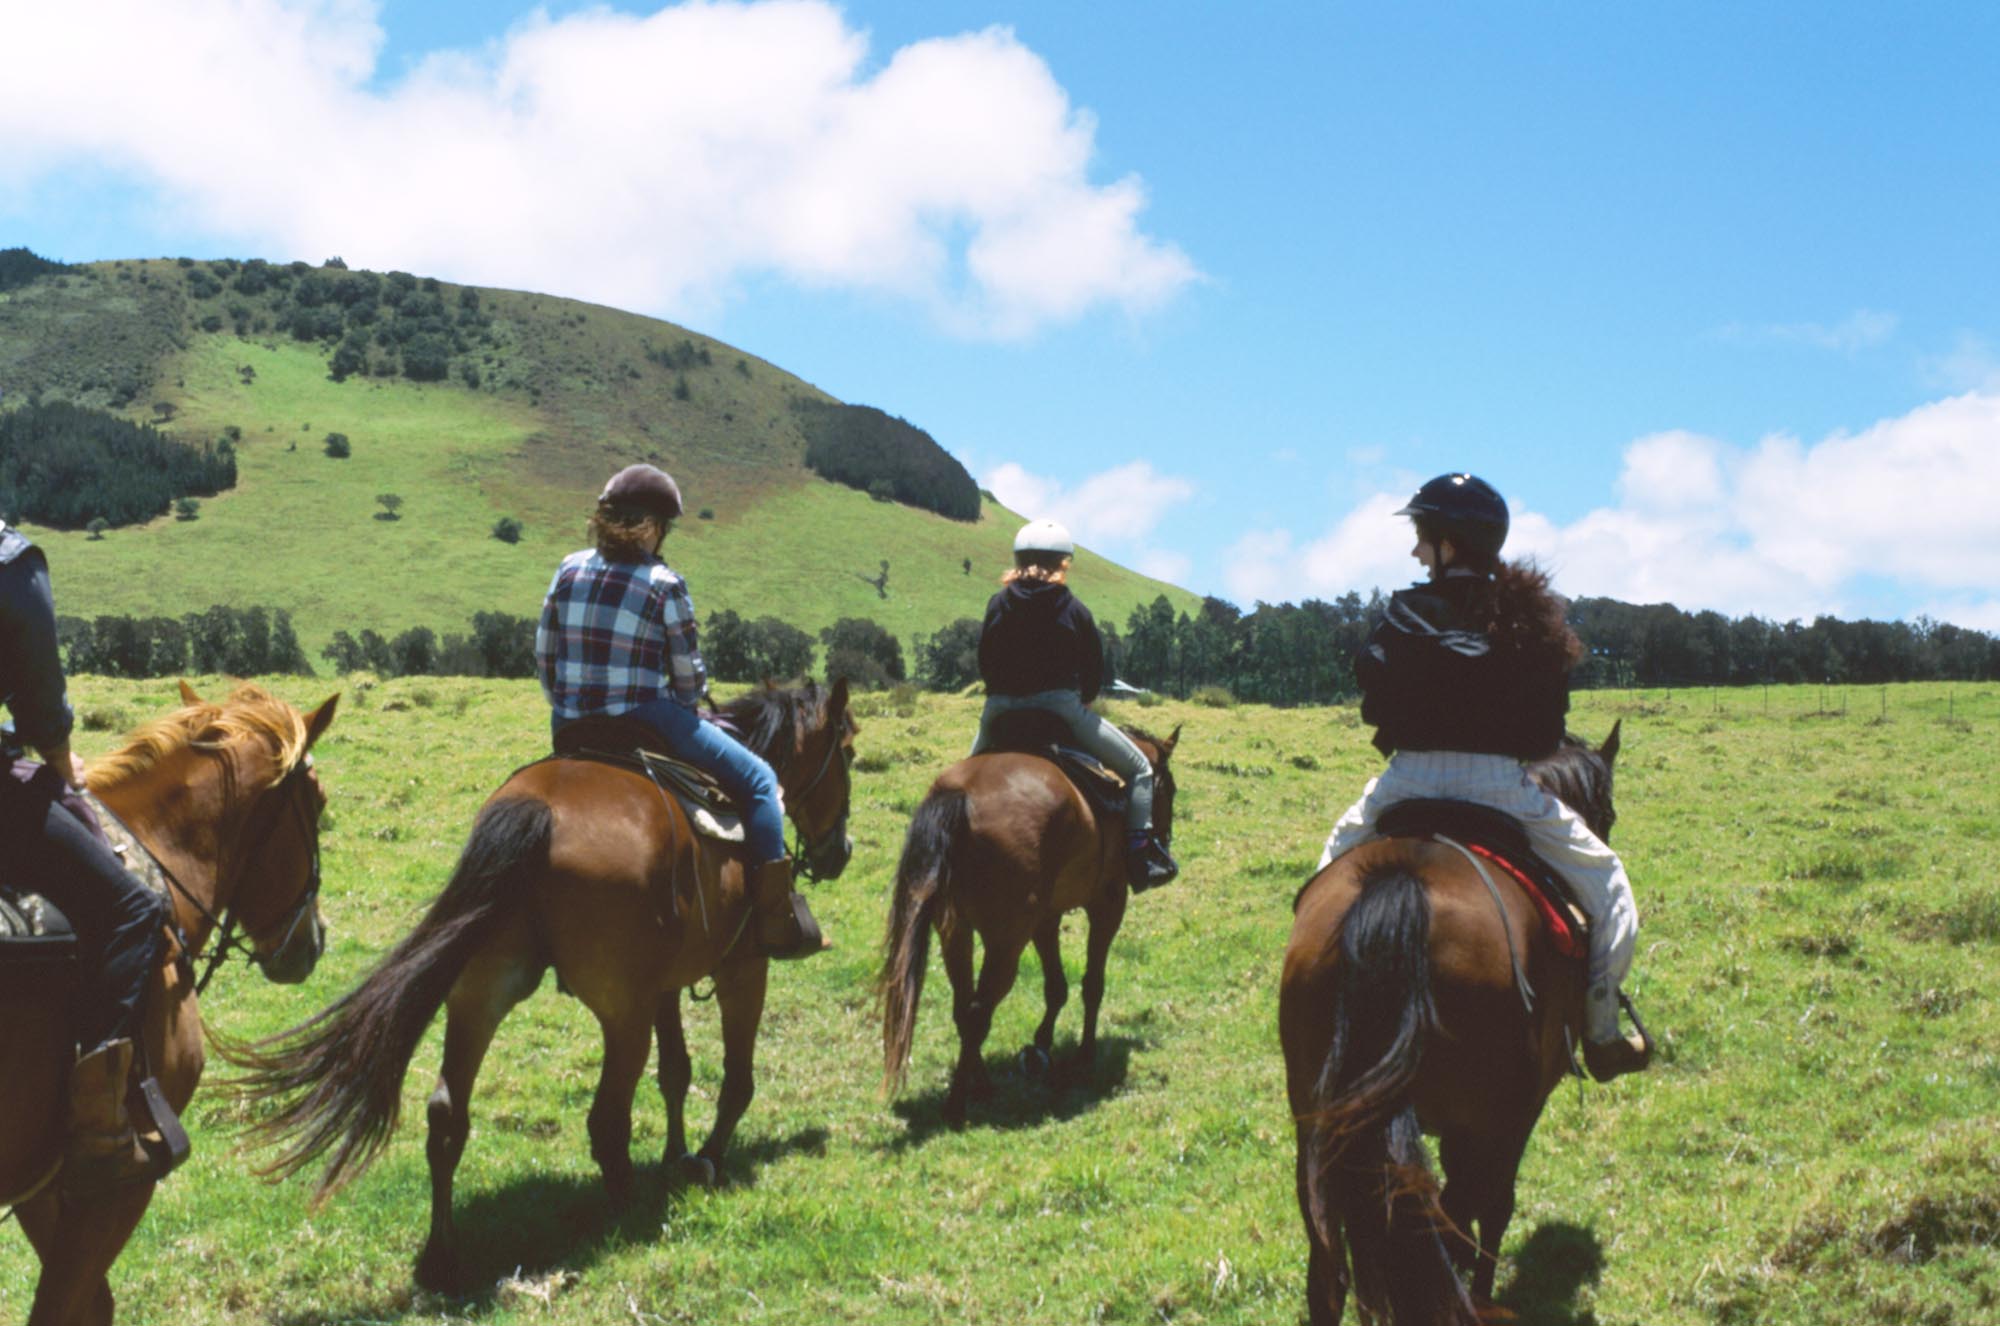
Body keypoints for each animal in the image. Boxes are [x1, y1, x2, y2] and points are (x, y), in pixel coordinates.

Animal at [230, 680, 856, 1288]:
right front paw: (706, 1160)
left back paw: (441, 1258)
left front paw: (675, 1156)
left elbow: (676, 1074)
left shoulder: (664, 985)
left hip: (480, 990)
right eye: (848, 753)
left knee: (446, 1113)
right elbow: (735, 1081)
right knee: (606, 1120)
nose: (840, 852)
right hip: (620, 1012)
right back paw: (628, 1213)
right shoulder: (742, 970)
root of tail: (541, 811)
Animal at [880, 720, 1184, 1128]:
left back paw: (981, 1084)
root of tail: (961, 796)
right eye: (1170, 788)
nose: (1162, 847)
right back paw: (958, 1104)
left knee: (964, 1007)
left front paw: (1042, 1043)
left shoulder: (1046, 918)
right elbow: (1092, 984)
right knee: (978, 1012)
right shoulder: (1107, 903)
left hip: (955, 932)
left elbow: (1056, 987)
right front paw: (1085, 1053)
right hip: (1006, 941)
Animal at [1280, 728, 1624, 1326]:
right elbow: (1493, 1207)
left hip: (1317, 1123)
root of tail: (1401, 884)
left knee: (1329, 1271)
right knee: (1460, 1213)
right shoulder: (1513, 1114)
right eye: (1607, 812)